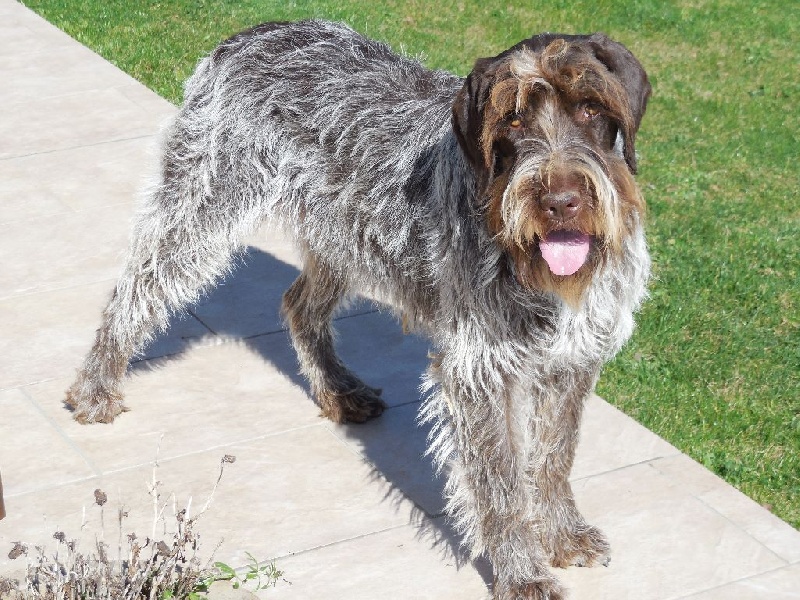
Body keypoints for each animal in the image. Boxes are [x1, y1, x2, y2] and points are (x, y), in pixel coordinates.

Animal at [66, 20, 651, 599]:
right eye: (512, 117)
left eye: (592, 109)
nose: (559, 202)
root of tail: (249, 33)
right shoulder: (479, 368)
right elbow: (502, 483)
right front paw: (521, 571)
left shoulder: (575, 358)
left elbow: (554, 457)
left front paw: (561, 533)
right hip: (203, 208)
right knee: (135, 289)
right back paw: (97, 383)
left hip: (343, 235)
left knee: (300, 306)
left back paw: (336, 388)